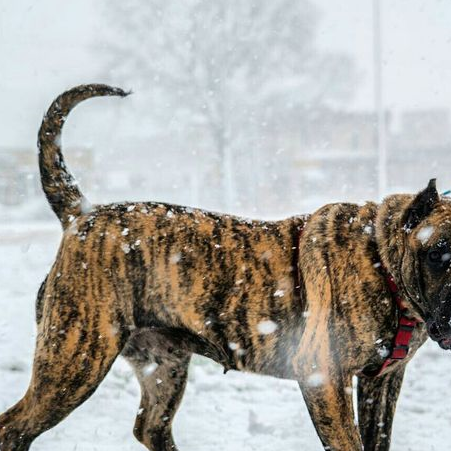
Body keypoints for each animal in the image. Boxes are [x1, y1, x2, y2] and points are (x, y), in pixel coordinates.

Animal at [0, 85, 451, 451]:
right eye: (439, 254)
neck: (382, 259)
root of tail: (83, 214)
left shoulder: (381, 382)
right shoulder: (324, 375)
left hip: (162, 366)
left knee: (151, 427)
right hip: (74, 360)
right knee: (14, 427)